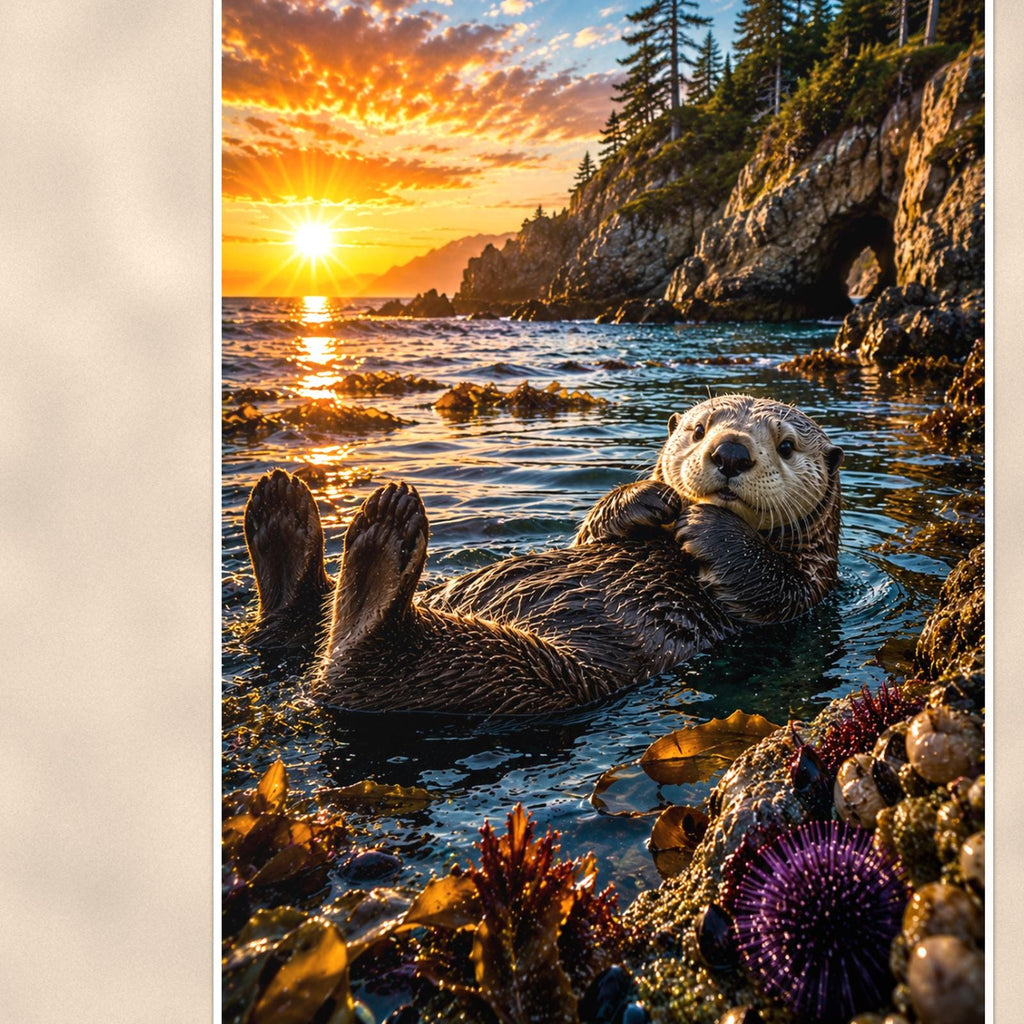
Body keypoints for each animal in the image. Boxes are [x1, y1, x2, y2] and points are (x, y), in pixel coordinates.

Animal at [243, 395, 843, 715]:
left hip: (514, 679)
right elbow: (591, 536)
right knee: (298, 616)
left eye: (786, 446)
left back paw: (383, 536)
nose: (731, 451)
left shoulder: (813, 587)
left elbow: (773, 586)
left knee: (363, 662)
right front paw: (646, 497)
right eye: (698, 431)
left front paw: (708, 526)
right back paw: (282, 512)